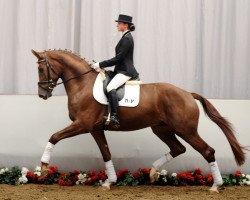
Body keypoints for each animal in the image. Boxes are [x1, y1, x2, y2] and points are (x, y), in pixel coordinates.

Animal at [31, 49, 244, 191]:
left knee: (207, 151)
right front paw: (109, 182)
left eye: (41, 69)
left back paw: (216, 186)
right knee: (178, 149)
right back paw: (153, 172)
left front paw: (44, 168)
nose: (42, 94)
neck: (82, 84)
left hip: (186, 130)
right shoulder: (95, 129)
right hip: (162, 129)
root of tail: (188, 94)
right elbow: (106, 153)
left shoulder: (82, 125)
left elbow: (54, 137)